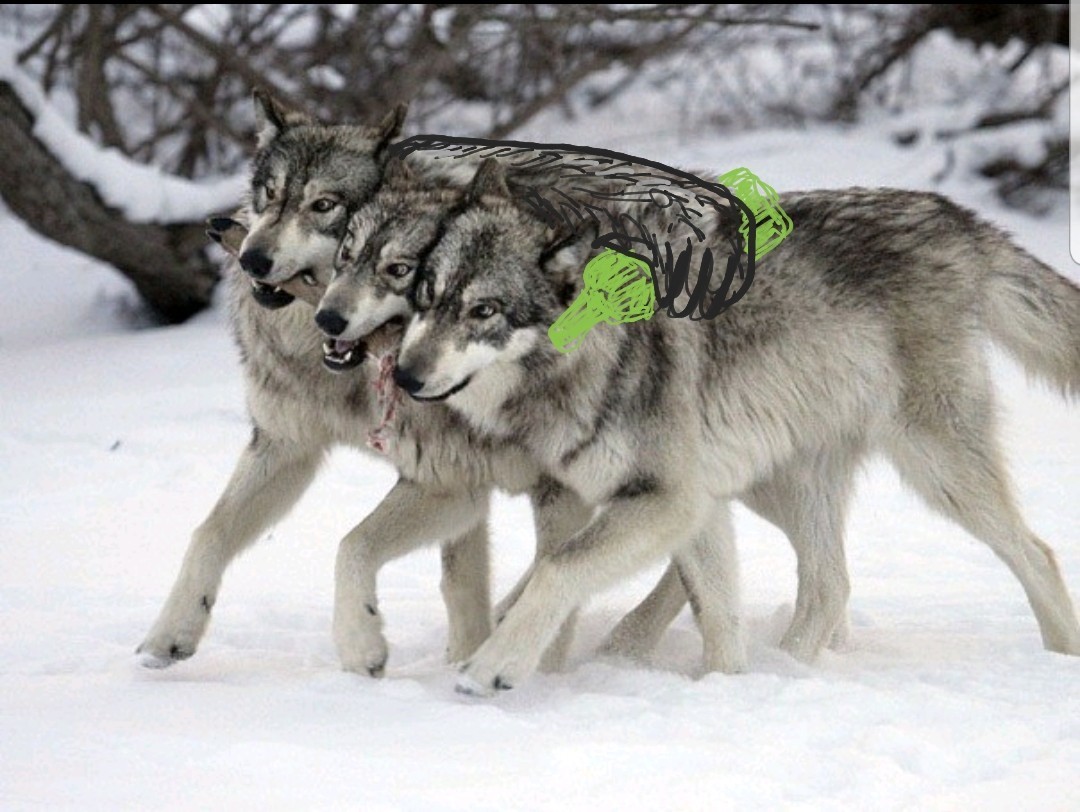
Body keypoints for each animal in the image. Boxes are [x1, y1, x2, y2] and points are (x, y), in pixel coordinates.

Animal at [393, 161, 1080, 695]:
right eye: (425, 294)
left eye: (483, 311)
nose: (403, 374)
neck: (595, 354)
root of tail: (953, 215)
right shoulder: (695, 505)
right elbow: (716, 617)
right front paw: (726, 691)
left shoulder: (670, 500)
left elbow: (558, 570)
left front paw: (492, 666)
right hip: (780, 485)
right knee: (829, 584)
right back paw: (788, 673)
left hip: (933, 468)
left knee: (1036, 552)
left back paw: (1059, 659)